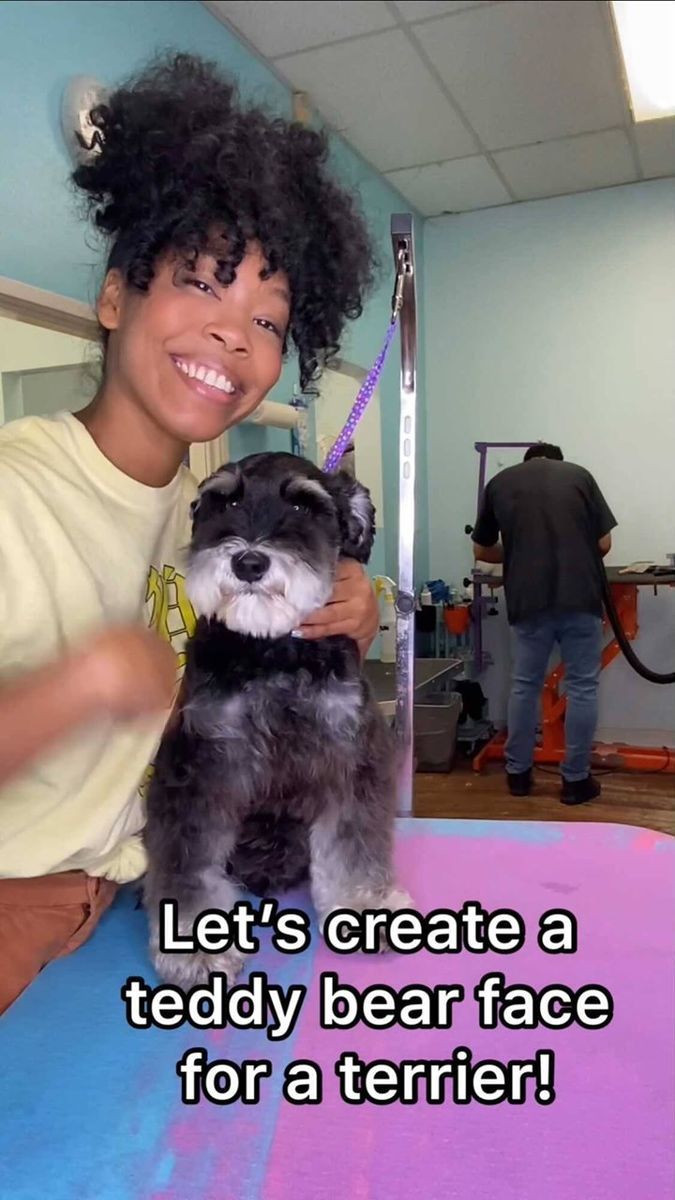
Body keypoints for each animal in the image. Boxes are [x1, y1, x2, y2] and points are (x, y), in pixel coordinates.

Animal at [144, 451, 408, 984]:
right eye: (226, 501)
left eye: (305, 506)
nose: (248, 562)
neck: (271, 649)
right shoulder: (198, 765)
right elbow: (189, 858)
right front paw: (193, 950)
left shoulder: (350, 753)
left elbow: (354, 844)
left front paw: (364, 904)